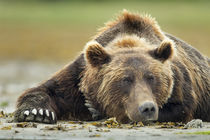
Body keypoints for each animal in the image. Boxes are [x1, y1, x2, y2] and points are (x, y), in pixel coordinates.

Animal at [13, 10, 209, 123]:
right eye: (126, 79)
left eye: (152, 78)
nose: (147, 108)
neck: (128, 40)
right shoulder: (79, 73)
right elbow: (47, 89)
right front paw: (37, 112)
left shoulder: (179, 80)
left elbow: (181, 107)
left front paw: (96, 110)